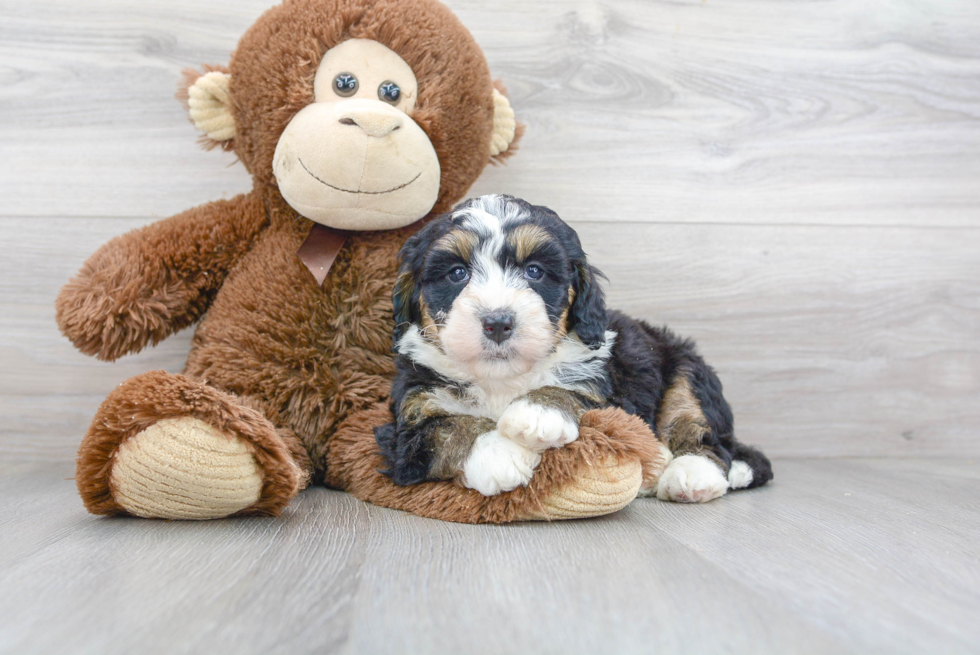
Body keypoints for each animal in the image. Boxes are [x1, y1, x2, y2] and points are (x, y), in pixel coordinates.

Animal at [376, 195, 772, 502]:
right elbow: (446, 429)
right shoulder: (409, 417)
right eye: (457, 273)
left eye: (535, 271)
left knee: (701, 429)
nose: (498, 322)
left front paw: (538, 412)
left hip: (688, 367)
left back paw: (692, 473)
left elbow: (576, 392)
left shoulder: (606, 385)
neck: (500, 379)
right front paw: (498, 453)